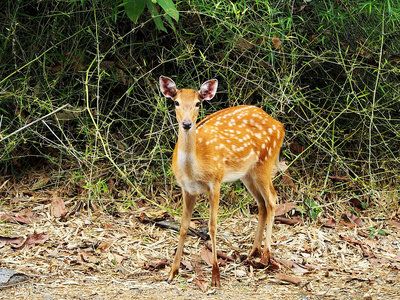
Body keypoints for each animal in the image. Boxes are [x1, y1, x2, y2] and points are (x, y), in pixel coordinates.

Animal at [159, 75, 284, 286]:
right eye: (176, 102)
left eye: (198, 103)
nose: (186, 124)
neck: (194, 169)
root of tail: (280, 126)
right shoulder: (187, 189)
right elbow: (183, 226)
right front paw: (172, 272)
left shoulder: (215, 181)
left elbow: (213, 226)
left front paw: (215, 276)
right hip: (247, 174)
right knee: (261, 203)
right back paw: (252, 253)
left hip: (264, 164)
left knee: (272, 199)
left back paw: (266, 257)